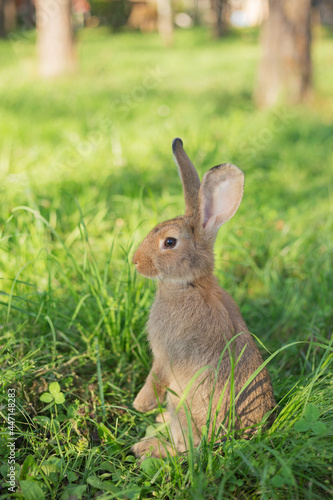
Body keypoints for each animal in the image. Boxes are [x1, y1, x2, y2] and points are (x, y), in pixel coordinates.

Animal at [130, 139, 274, 458]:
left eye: (170, 242)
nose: (135, 261)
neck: (191, 285)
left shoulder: (164, 354)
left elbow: (155, 376)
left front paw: (140, 405)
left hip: (182, 408)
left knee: (186, 445)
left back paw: (145, 446)